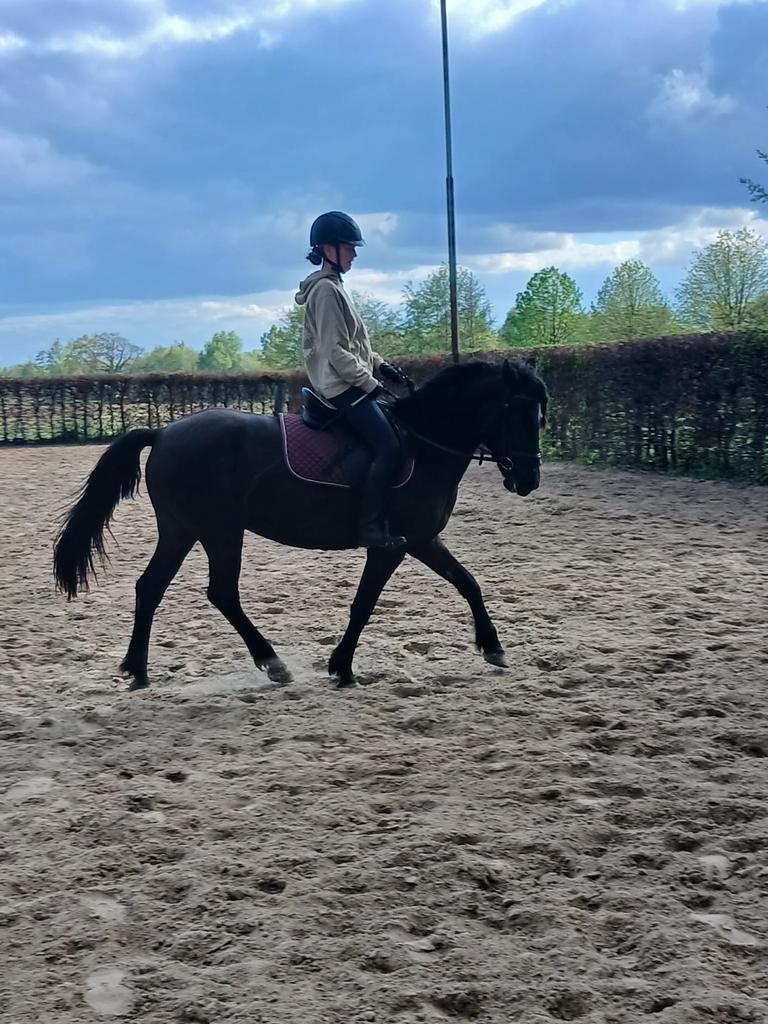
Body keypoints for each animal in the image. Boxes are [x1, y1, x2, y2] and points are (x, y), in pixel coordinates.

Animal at [53, 359, 548, 690]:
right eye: (516, 411)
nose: (528, 479)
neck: (424, 444)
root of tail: (163, 433)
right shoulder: (392, 545)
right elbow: (364, 604)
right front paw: (342, 667)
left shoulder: (424, 539)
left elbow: (468, 582)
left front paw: (493, 647)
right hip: (219, 531)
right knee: (220, 593)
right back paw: (272, 663)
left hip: (182, 530)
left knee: (151, 587)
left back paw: (138, 671)